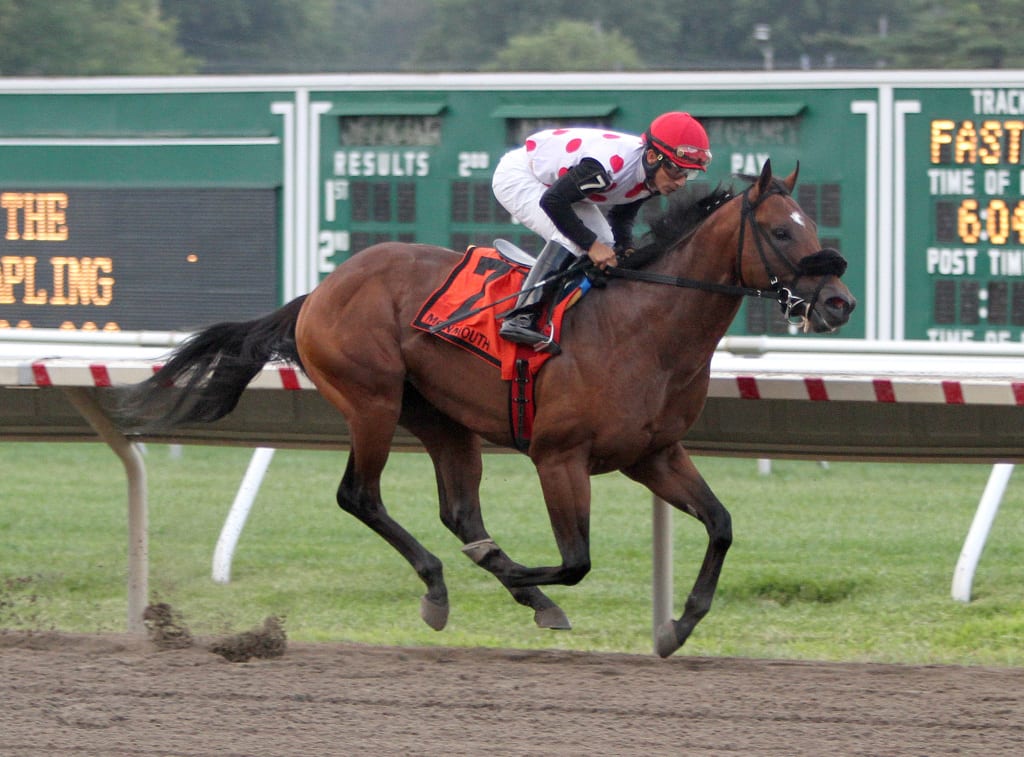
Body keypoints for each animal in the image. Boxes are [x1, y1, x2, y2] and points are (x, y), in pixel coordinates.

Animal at [117, 161, 856, 655]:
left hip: (441, 418)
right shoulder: (560, 456)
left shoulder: (653, 454)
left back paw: (508, 587)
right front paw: (523, 572)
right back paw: (448, 587)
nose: (840, 301)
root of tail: (320, 291)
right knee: (361, 496)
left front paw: (676, 626)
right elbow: (577, 558)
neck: (644, 327)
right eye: (781, 232)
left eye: (812, 224)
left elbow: (721, 524)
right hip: (372, 399)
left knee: (457, 510)